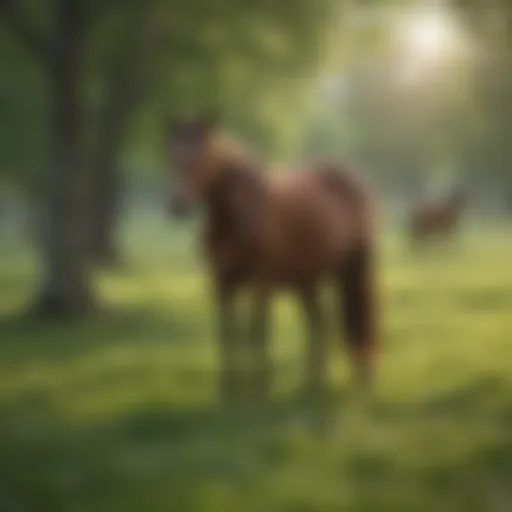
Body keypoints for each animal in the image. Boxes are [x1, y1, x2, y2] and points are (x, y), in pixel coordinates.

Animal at [166, 117, 378, 404]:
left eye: (202, 157)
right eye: (171, 156)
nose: (177, 205)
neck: (240, 216)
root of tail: (353, 181)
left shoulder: (261, 284)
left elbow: (257, 335)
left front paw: (259, 392)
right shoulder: (221, 284)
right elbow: (228, 335)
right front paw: (228, 391)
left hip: (353, 270)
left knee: (356, 318)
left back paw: (358, 379)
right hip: (306, 281)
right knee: (320, 324)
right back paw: (313, 384)